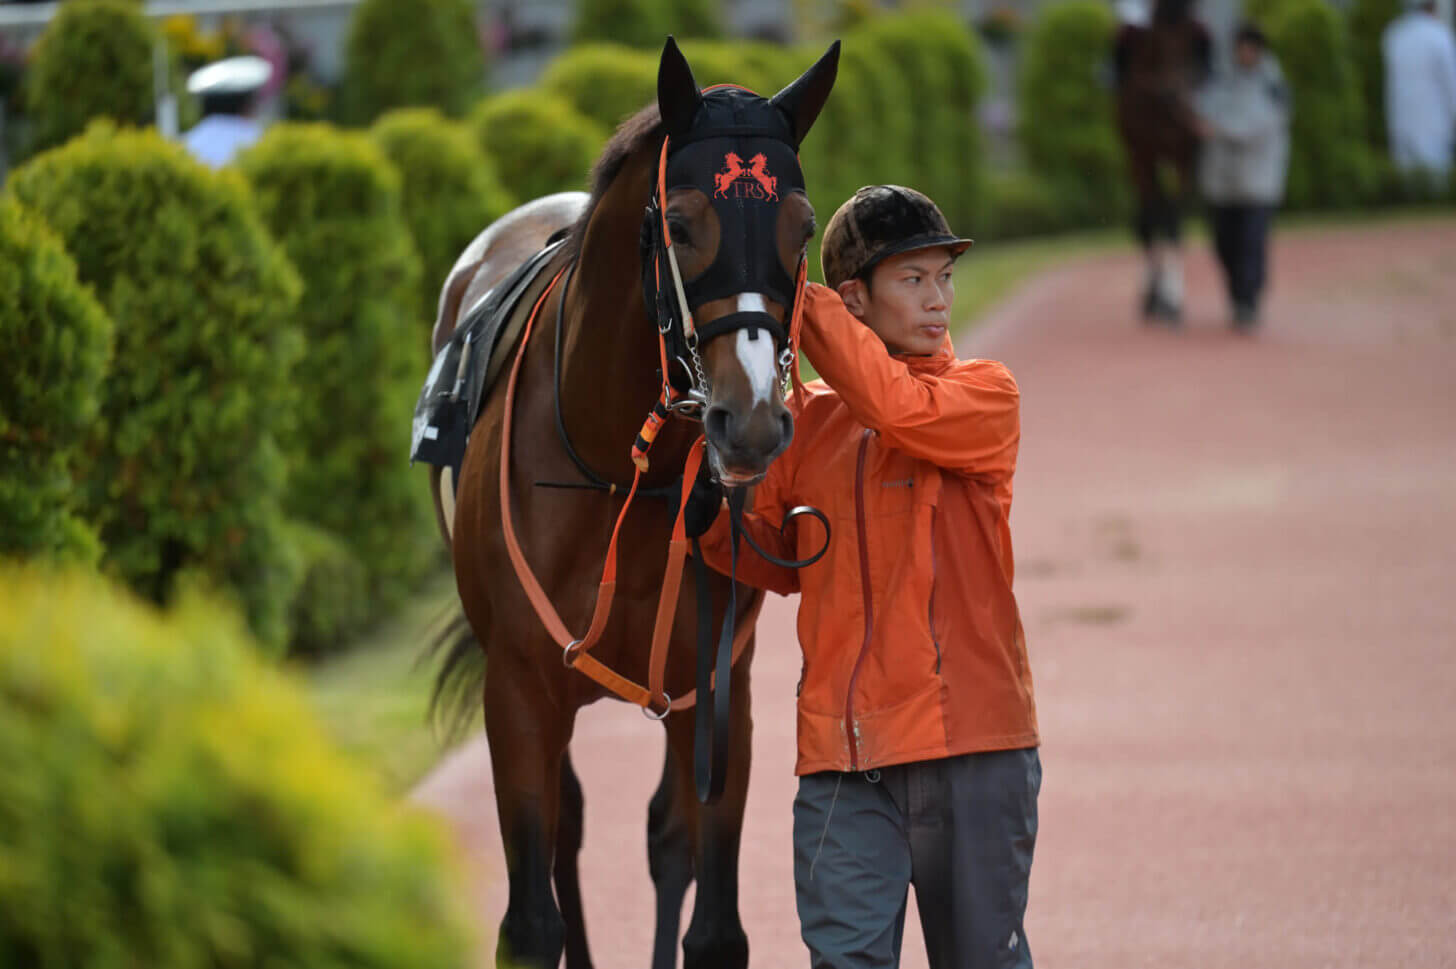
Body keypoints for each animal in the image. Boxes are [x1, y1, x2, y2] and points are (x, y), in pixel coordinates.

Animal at [425, 37, 838, 966]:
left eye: (802, 227)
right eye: (680, 224)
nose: (750, 418)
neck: (622, 473)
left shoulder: (717, 683)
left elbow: (711, 918)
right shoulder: (519, 689)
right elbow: (531, 921)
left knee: (662, 832)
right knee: (571, 829)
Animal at [1118, 0, 1211, 320]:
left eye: (1191, 40)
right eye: (1156, 40)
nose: (1173, 96)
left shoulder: (1185, 156)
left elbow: (1173, 221)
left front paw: (1172, 299)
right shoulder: (1142, 154)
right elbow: (1152, 217)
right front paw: (1156, 298)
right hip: (1137, 157)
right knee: (1147, 218)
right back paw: (1150, 296)